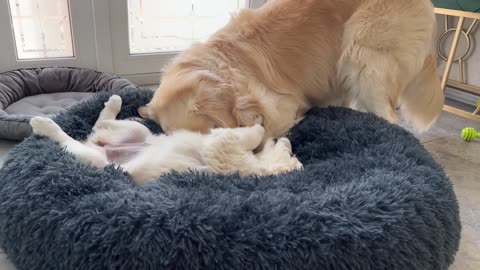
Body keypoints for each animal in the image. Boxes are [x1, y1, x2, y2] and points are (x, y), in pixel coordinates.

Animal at [30, 94, 302, 185]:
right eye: (291, 152)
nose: (288, 142)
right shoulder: (228, 140)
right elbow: (254, 132)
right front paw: (259, 121)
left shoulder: (224, 146)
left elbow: (249, 135)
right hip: (138, 133)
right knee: (101, 124)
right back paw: (117, 102)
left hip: (91, 158)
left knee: (69, 139)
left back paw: (42, 123)